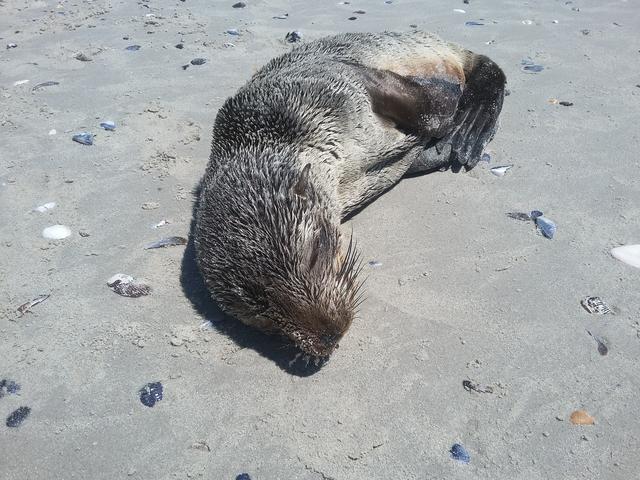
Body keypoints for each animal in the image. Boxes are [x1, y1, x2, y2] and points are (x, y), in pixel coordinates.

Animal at [194, 31, 506, 358]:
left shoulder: (334, 90)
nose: (328, 336)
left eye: (316, 250)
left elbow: (434, 109)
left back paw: (472, 124)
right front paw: (438, 149)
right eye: (263, 316)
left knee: (487, 71)